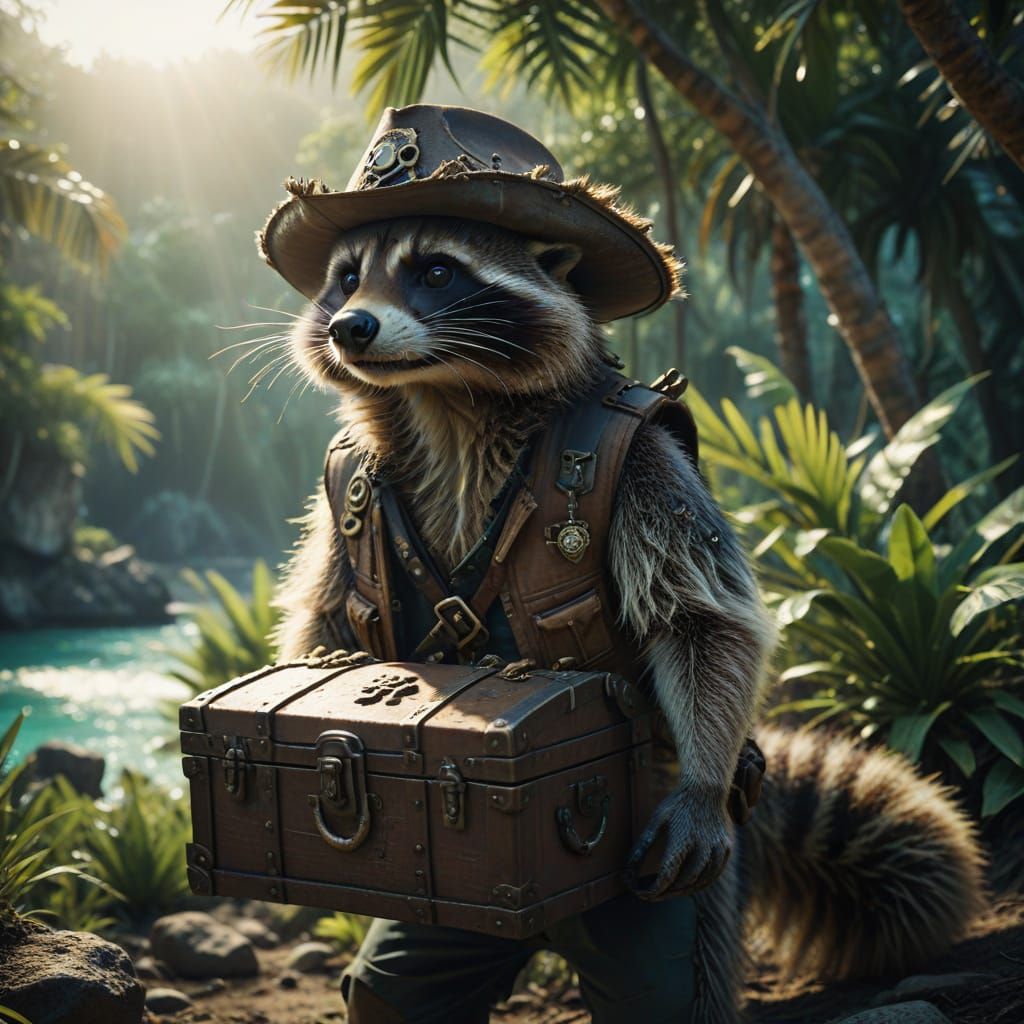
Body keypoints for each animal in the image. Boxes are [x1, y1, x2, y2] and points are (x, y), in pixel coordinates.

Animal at [273, 214, 983, 1020]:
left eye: (437, 272)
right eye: (347, 279)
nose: (350, 327)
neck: (443, 394)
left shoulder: (650, 460)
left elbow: (698, 618)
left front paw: (699, 787)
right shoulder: (340, 492)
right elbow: (326, 611)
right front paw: (324, 663)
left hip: (666, 890)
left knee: (669, 982)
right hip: (452, 931)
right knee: (398, 989)